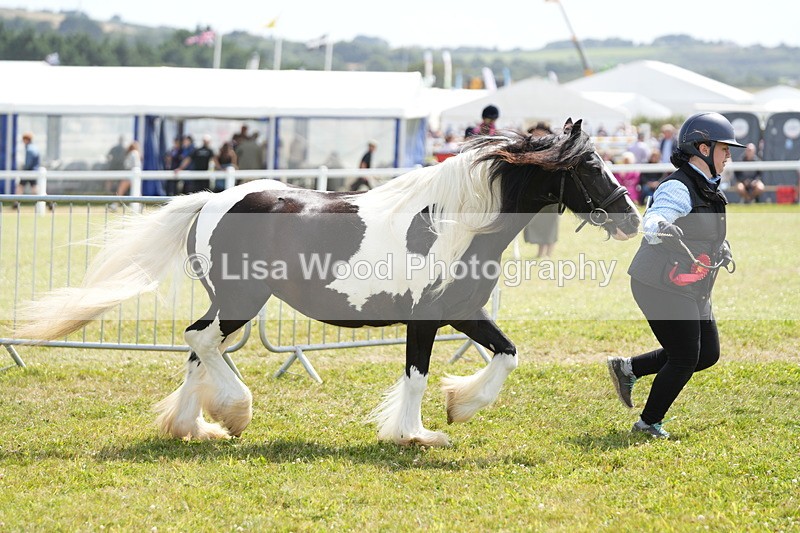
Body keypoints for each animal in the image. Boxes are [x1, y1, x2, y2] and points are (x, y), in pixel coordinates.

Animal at [18, 119, 640, 447]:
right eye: (590, 166)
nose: (632, 217)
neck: (454, 222)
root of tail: (212, 199)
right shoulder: (425, 319)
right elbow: (417, 375)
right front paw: (416, 434)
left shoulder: (464, 313)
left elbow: (507, 355)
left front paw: (458, 407)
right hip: (242, 299)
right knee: (200, 340)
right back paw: (234, 412)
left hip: (231, 301)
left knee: (199, 347)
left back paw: (196, 425)